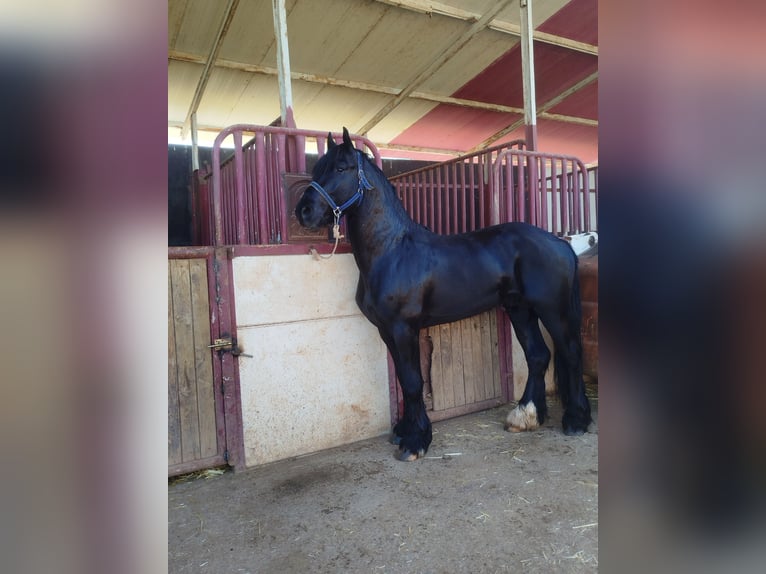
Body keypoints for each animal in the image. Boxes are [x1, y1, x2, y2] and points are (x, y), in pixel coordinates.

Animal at [295, 128, 592, 461]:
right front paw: (405, 431)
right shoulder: (386, 330)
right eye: (317, 169)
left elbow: (413, 382)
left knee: (570, 352)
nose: (303, 211)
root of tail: (560, 243)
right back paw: (524, 417)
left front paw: (415, 442)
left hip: (552, 310)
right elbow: (403, 380)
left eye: (341, 168)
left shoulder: (403, 328)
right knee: (538, 355)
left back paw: (576, 421)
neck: (392, 251)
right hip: (519, 309)